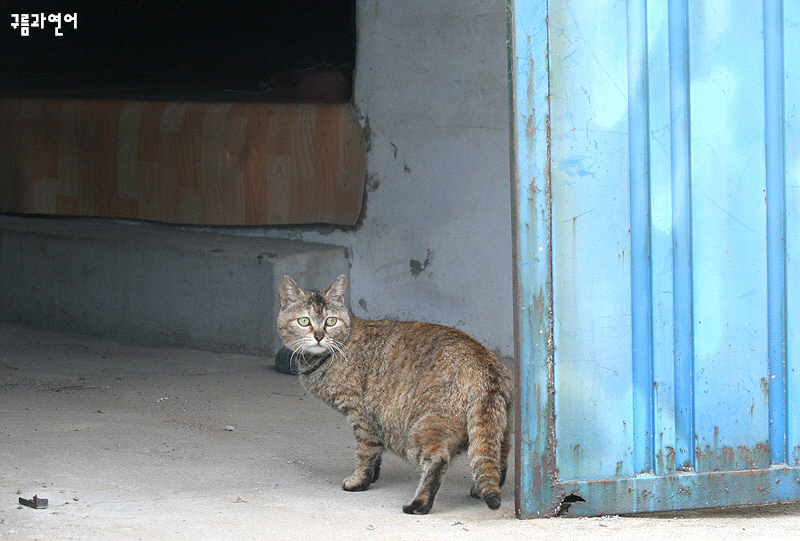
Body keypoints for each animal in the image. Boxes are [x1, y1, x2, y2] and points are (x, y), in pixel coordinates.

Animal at [276, 276, 512, 512]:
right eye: (304, 321)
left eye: (331, 321)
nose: (319, 336)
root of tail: (483, 363)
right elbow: (375, 453)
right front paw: (372, 476)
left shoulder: (361, 414)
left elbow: (365, 452)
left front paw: (359, 481)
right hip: (496, 430)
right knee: (496, 459)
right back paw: (479, 488)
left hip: (421, 430)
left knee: (438, 460)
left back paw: (419, 504)